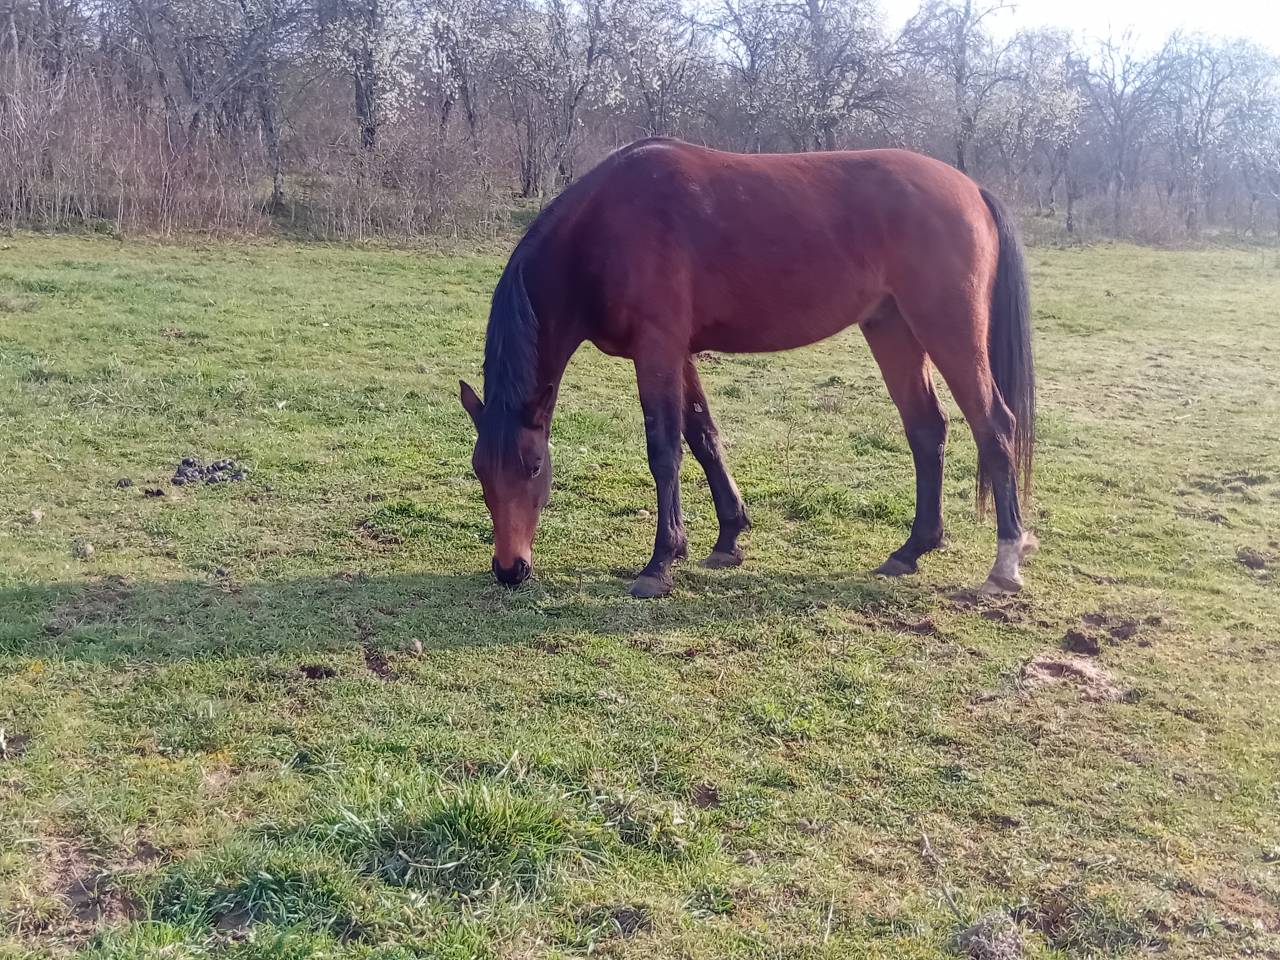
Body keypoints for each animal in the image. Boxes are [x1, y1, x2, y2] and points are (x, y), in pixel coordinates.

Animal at [459, 137, 1036, 598]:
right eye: (480, 469)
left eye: (534, 466)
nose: (510, 569)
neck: (603, 227)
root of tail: (972, 189)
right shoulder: (679, 353)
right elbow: (703, 436)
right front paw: (727, 537)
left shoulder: (657, 349)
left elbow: (664, 450)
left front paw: (659, 563)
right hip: (893, 329)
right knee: (926, 429)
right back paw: (912, 549)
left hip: (948, 330)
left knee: (993, 426)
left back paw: (1004, 564)